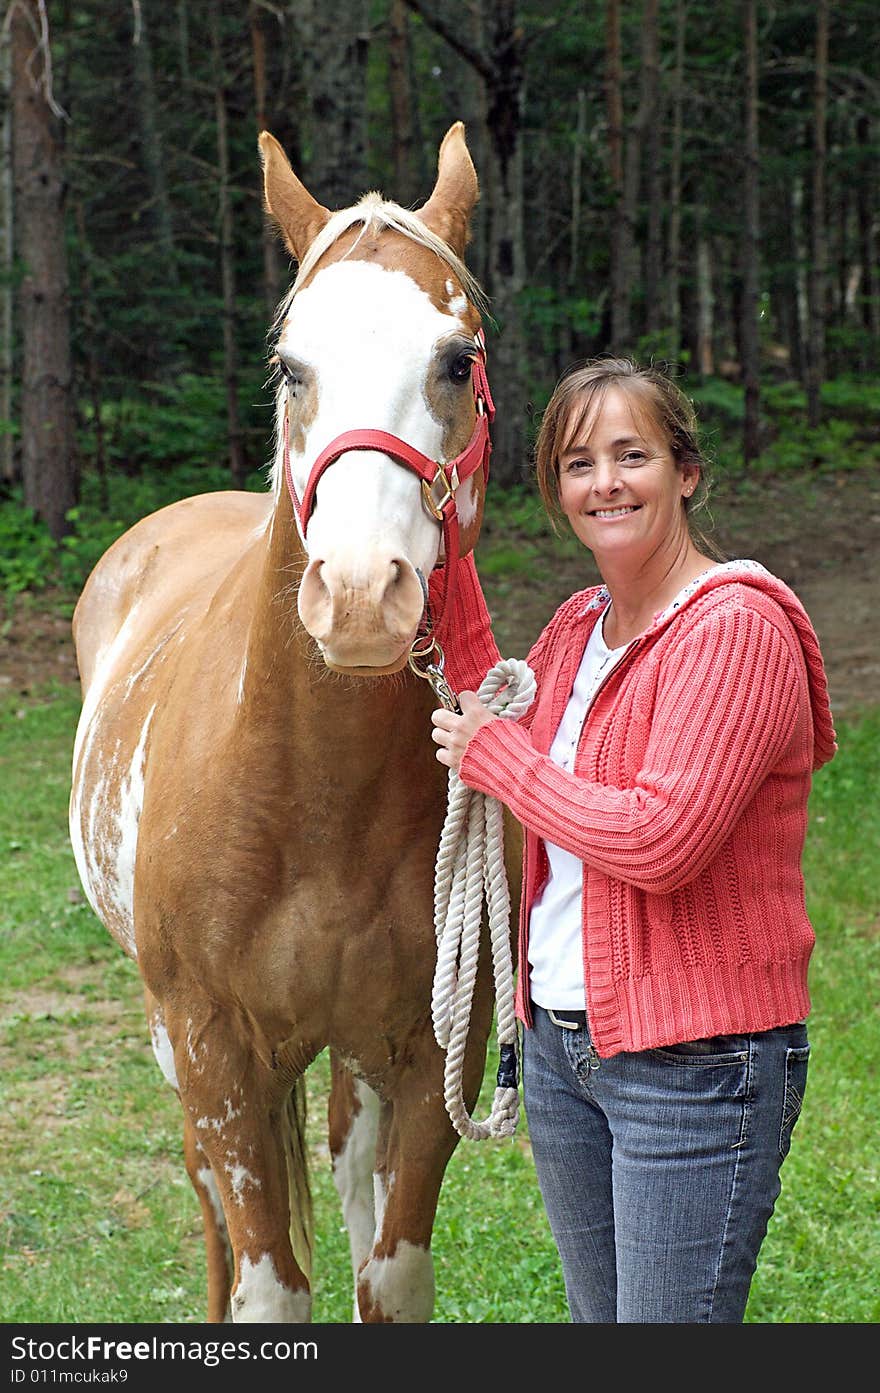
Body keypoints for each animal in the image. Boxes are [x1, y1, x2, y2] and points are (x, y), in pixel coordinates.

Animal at [70, 125, 523, 1320]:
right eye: (289, 365)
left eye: (456, 359)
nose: (361, 597)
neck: (308, 795)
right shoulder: (215, 1052)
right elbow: (270, 1284)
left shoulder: (430, 1054)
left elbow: (388, 1275)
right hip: (179, 1052)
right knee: (212, 1207)